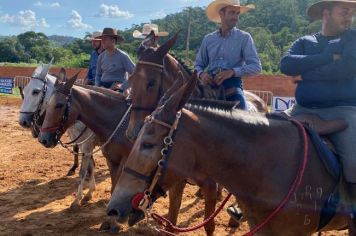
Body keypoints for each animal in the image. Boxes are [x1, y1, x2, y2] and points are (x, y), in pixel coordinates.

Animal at [19, 62, 97, 208]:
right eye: (24, 91)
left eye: (36, 91)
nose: (23, 121)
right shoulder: (84, 146)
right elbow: (90, 167)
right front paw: (90, 191)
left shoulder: (88, 146)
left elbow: (85, 170)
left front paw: (80, 197)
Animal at [36, 73, 220, 234]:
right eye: (47, 103)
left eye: (59, 105)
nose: (43, 139)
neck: (117, 123)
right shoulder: (112, 161)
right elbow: (113, 189)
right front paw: (108, 221)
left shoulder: (126, 162)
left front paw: (115, 224)